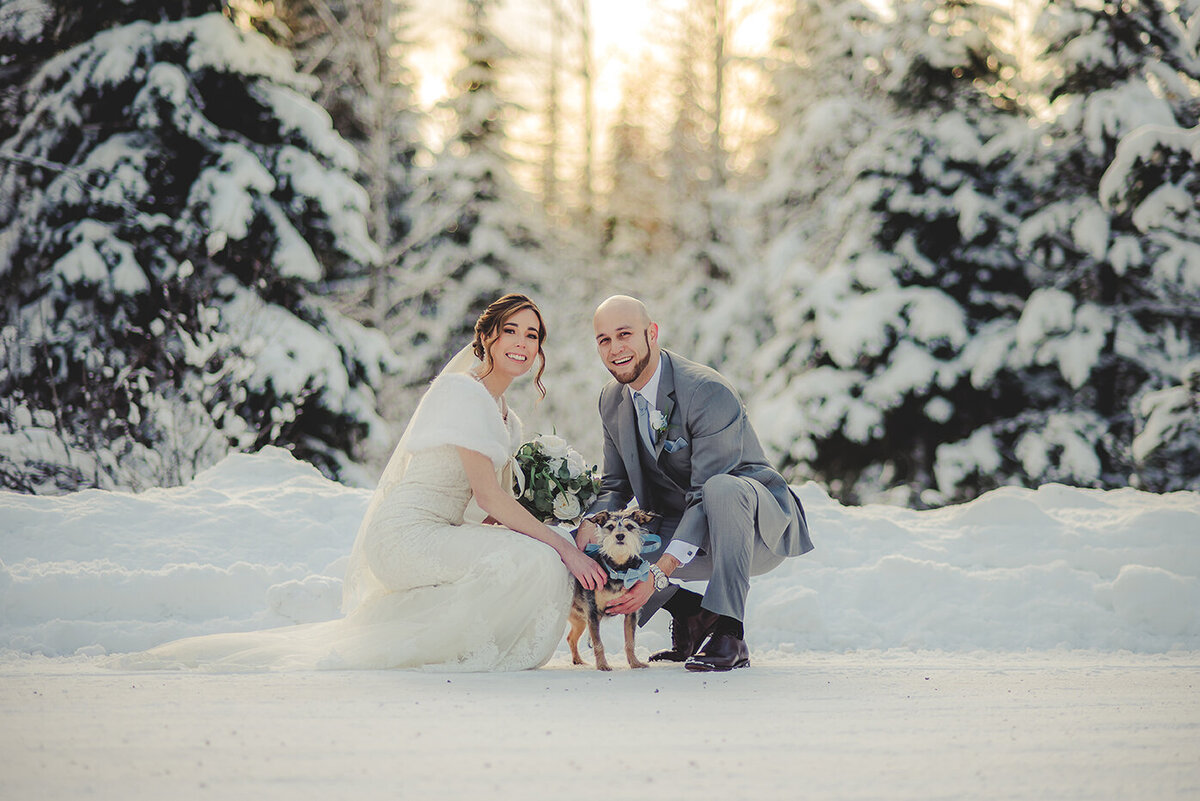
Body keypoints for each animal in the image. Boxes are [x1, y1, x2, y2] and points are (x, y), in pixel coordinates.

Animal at [568, 510, 662, 671]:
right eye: (610, 527)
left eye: (629, 526)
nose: (619, 536)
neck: (618, 569)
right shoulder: (593, 613)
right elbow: (598, 644)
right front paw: (602, 665)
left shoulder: (631, 612)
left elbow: (630, 642)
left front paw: (635, 663)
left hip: (580, 620)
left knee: (570, 638)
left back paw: (578, 660)